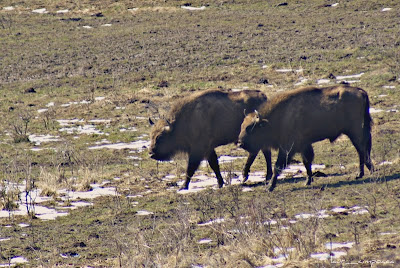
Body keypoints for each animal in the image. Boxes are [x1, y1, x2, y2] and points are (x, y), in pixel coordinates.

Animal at [236, 85, 374, 192]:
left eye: (250, 128)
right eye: (242, 126)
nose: (240, 143)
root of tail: (360, 91)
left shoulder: (287, 148)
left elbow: (278, 166)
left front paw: (269, 187)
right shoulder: (304, 145)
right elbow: (306, 161)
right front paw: (307, 181)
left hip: (354, 131)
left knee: (361, 149)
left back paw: (364, 172)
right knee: (362, 149)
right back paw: (362, 173)